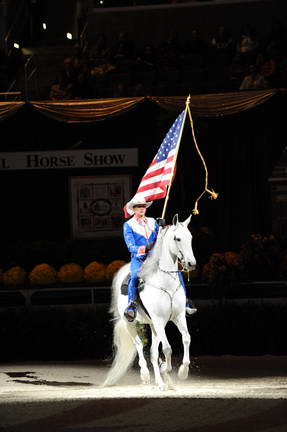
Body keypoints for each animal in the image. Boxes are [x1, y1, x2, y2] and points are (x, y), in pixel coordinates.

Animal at [103, 214, 198, 390]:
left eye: (190, 237)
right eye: (177, 238)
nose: (191, 263)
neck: (165, 283)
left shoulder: (179, 317)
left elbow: (186, 338)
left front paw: (182, 371)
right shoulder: (160, 321)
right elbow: (167, 348)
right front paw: (167, 368)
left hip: (153, 326)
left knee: (153, 353)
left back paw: (161, 383)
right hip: (131, 323)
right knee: (139, 345)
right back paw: (146, 375)